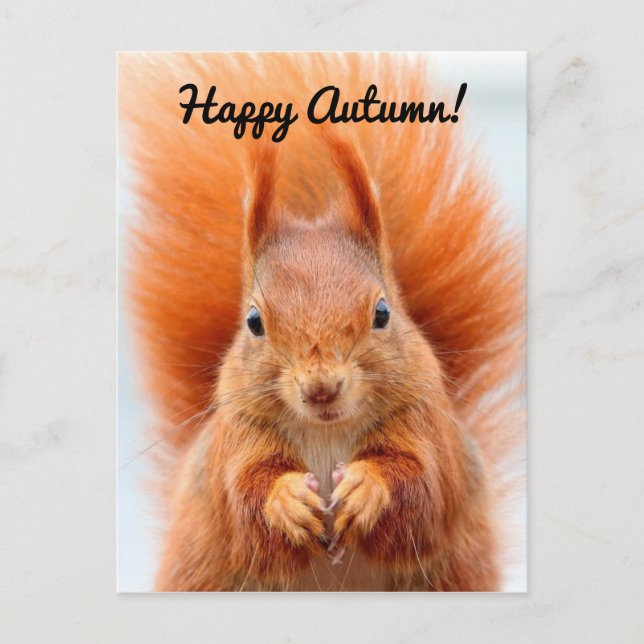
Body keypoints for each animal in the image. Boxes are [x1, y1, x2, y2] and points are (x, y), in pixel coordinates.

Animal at [119, 53, 525, 591]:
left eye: (382, 313)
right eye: (254, 321)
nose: (321, 388)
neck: (328, 432)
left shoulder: (427, 426)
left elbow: (422, 488)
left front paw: (368, 488)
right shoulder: (237, 439)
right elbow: (245, 499)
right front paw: (286, 501)